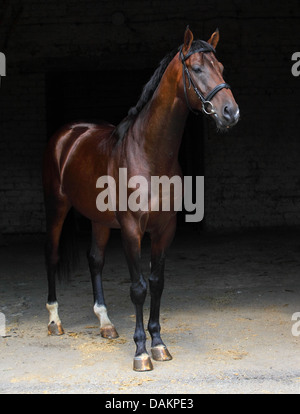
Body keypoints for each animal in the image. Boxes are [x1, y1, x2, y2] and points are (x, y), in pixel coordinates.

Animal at [42, 28, 239, 372]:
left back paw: (106, 324)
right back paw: (55, 320)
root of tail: (67, 134)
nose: (231, 112)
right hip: (57, 207)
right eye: (197, 69)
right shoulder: (132, 229)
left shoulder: (164, 229)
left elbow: (157, 282)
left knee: (95, 260)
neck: (149, 154)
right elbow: (138, 288)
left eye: (222, 67)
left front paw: (158, 344)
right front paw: (141, 352)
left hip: (99, 220)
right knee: (52, 256)